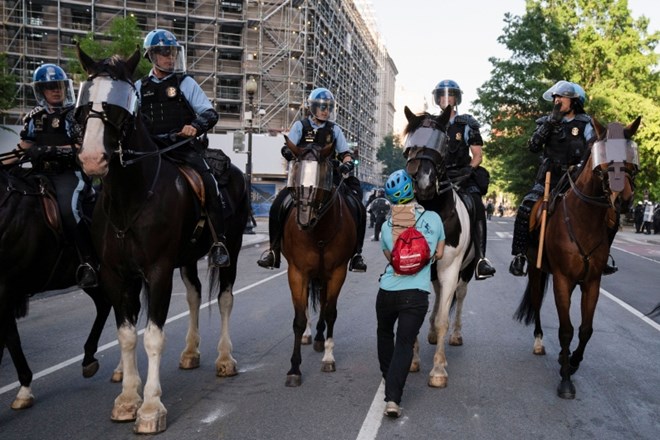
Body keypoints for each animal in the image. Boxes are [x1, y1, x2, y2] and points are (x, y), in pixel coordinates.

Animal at [75, 45, 249, 434]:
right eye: (85, 102)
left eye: (119, 105)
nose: (91, 159)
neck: (130, 197)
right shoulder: (115, 274)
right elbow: (127, 334)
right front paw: (127, 399)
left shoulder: (157, 271)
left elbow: (153, 337)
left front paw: (151, 408)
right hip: (187, 259)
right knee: (195, 294)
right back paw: (190, 352)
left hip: (230, 248)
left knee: (226, 299)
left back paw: (225, 358)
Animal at [278, 129, 360, 386]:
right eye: (295, 177)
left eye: (323, 178)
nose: (304, 220)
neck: (319, 232)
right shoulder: (297, 272)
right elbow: (298, 317)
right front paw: (294, 368)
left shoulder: (337, 272)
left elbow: (330, 311)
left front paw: (328, 357)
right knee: (307, 305)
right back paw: (308, 335)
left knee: (323, 304)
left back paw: (319, 339)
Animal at [516, 116, 640, 398]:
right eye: (604, 156)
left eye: (630, 157)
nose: (624, 200)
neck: (584, 218)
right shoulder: (562, 279)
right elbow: (565, 330)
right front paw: (564, 380)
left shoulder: (591, 282)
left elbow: (585, 330)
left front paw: (572, 363)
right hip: (538, 270)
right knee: (537, 303)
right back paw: (539, 341)